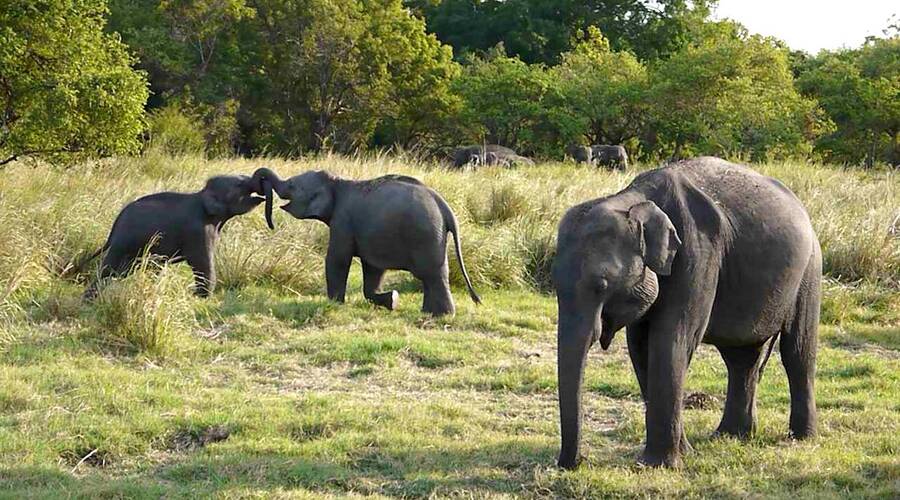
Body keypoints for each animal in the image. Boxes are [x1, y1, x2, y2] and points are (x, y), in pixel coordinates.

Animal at [77, 172, 268, 298]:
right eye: (239, 185)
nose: (265, 190)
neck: (202, 194)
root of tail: (114, 227)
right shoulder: (198, 231)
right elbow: (200, 260)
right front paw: (201, 297)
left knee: (125, 270)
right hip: (124, 243)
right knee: (109, 268)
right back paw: (89, 299)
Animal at [254, 168, 481, 315]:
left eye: (292, 185)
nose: (271, 224)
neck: (336, 181)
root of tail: (444, 207)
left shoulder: (342, 221)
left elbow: (337, 259)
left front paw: (335, 304)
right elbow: (373, 268)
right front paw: (392, 300)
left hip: (425, 235)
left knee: (432, 274)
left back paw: (442, 315)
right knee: (434, 275)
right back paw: (429, 313)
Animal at [552, 157, 821, 469]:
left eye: (601, 285)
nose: (576, 462)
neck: (634, 199)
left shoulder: (698, 253)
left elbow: (672, 339)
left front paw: (661, 465)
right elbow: (640, 347)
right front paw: (682, 453)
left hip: (810, 269)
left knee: (797, 352)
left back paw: (800, 438)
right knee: (741, 358)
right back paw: (731, 435)